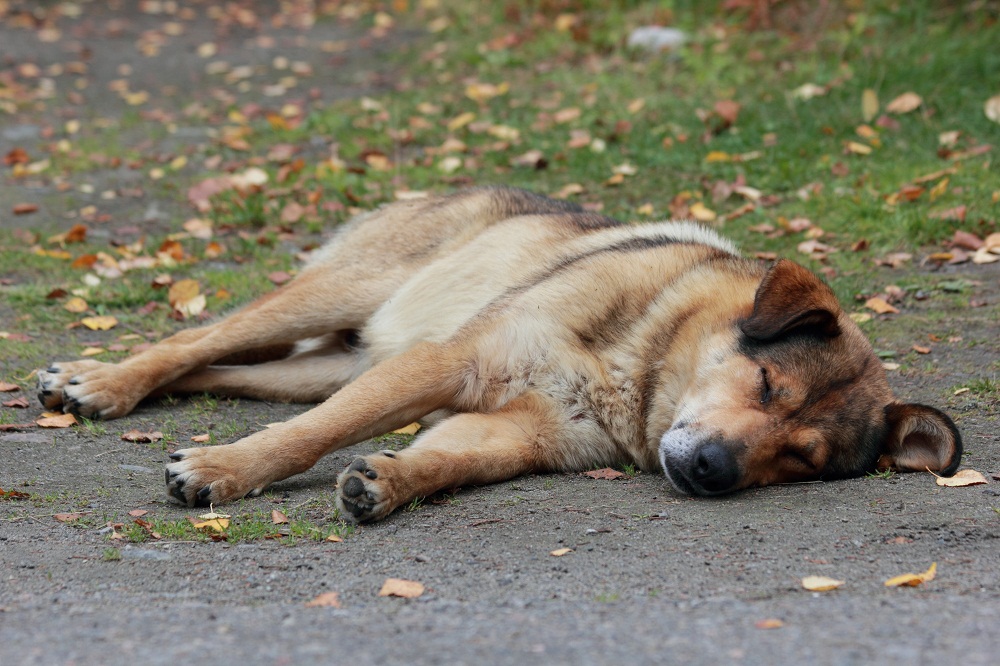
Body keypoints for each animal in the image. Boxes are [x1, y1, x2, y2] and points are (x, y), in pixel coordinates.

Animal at [37, 187, 960, 520]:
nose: (711, 474)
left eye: (800, 460)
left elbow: (444, 459)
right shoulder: (450, 364)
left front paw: (389, 481)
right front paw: (225, 471)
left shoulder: (519, 434)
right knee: (195, 341)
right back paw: (103, 382)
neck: (639, 367)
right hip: (346, 299)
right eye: (766, 384)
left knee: (223, 369)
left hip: (338, 363)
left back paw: (86, 381)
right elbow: (308, 439)